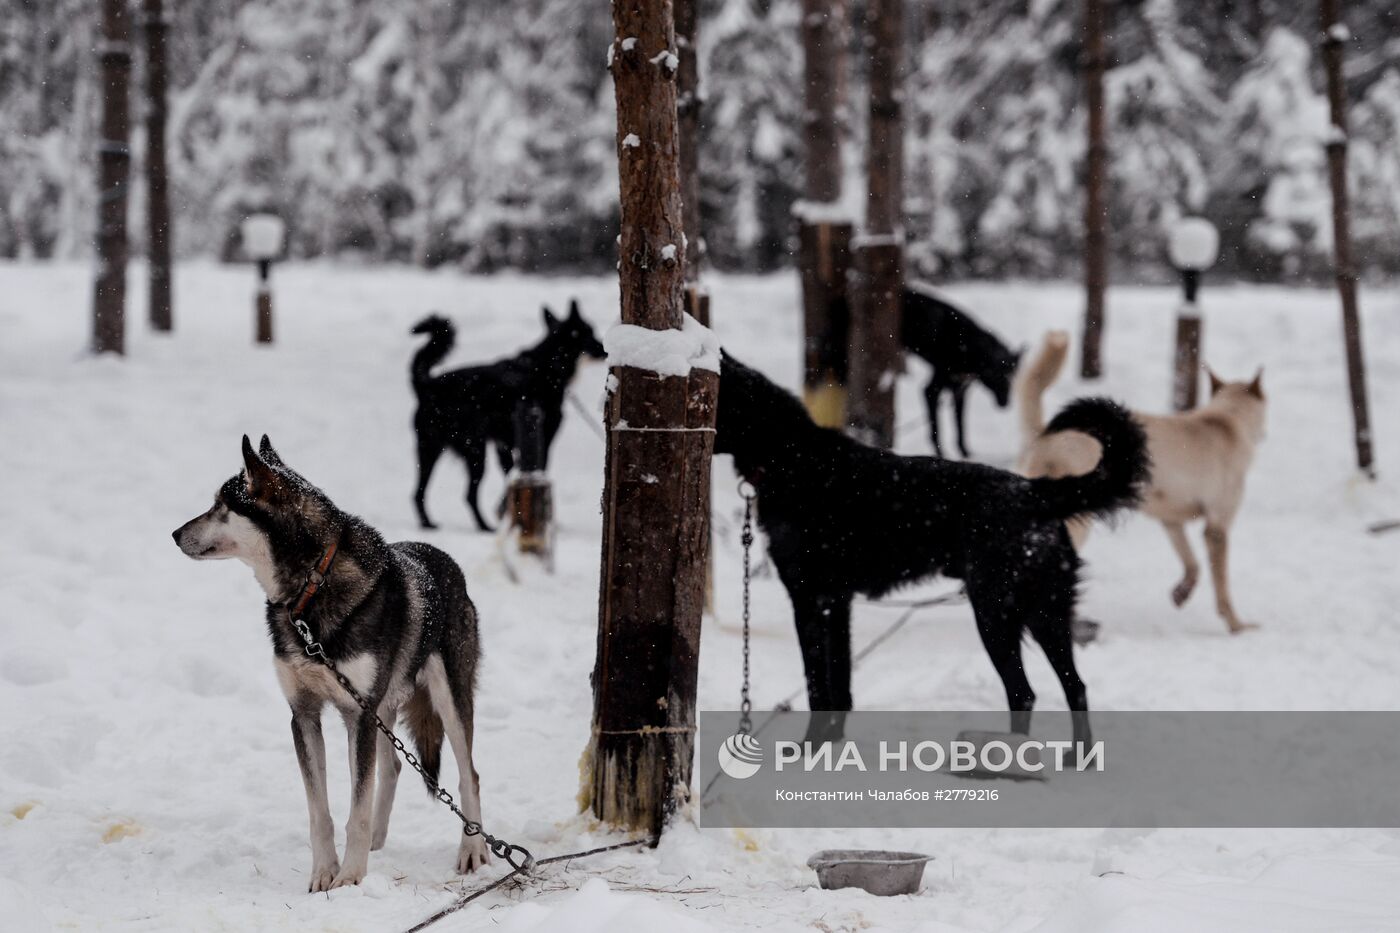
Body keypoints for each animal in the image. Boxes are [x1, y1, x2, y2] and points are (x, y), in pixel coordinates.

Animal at [406, 301, 602, 526]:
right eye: (591, 331)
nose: (604, 350)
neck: (547, 365)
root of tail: (428, 385)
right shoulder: (543, 440)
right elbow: (534, 471)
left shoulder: (505, 445)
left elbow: (511, 475)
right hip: (474, 450)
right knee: (468, 495)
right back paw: (483, 526)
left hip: (430, 449)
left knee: (419, 492)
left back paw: (429, 523)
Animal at [711, 350, 1148, 739]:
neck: (791, 455)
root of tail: (1032, 491)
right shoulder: (837, 604)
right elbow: (842, 686)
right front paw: (832, 745)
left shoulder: (810, 600)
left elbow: (818, 686)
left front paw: (809, 749)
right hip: (1046, 616)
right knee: (1075, 688)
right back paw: (1077, 759)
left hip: (995, 615)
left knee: (1024, 693)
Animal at [901, 282, 1024, 456]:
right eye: (995, 376)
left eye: (1012, 378)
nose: (1005, 403)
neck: (967, 344)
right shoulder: (932, 389)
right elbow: (936, 427)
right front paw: (940, 454)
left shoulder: (959, 389)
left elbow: (960, 424)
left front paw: (965, 453)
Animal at [1019, 329, 1271, 633]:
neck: (1226, 419)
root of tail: (1046, 434)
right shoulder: (1217, 528)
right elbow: (1221, 587)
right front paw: (1237, 626)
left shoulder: (1172, 520)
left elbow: (1192, 564)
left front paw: (1182, 592)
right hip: (1076, 522)